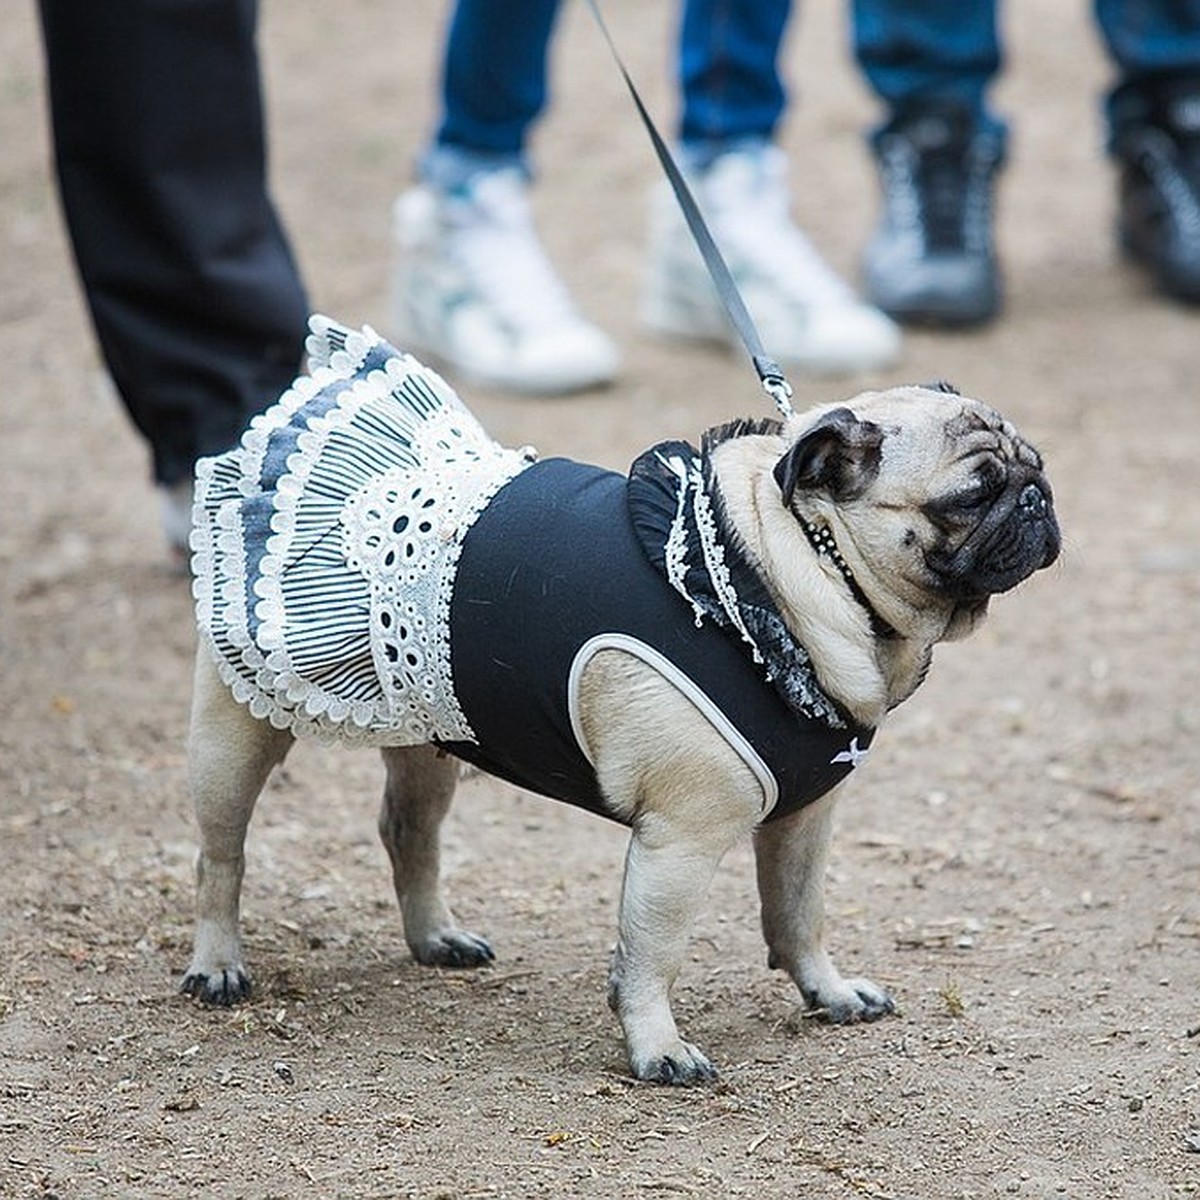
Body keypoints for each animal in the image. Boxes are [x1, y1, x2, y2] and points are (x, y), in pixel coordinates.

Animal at [180, 314, 1060, 1084]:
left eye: (1035, 464)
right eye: (969, 496)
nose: (1036, 498)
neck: (773, 573)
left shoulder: (806, 820)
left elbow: (798, 916)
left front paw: (828, 992)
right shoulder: (682, 839)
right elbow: (652, 955)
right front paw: (657, 1048)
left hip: (426, 725)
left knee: (409, 834)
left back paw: (435, 938)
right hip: (235, 738)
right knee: (222, 857)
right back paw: (218, 964)